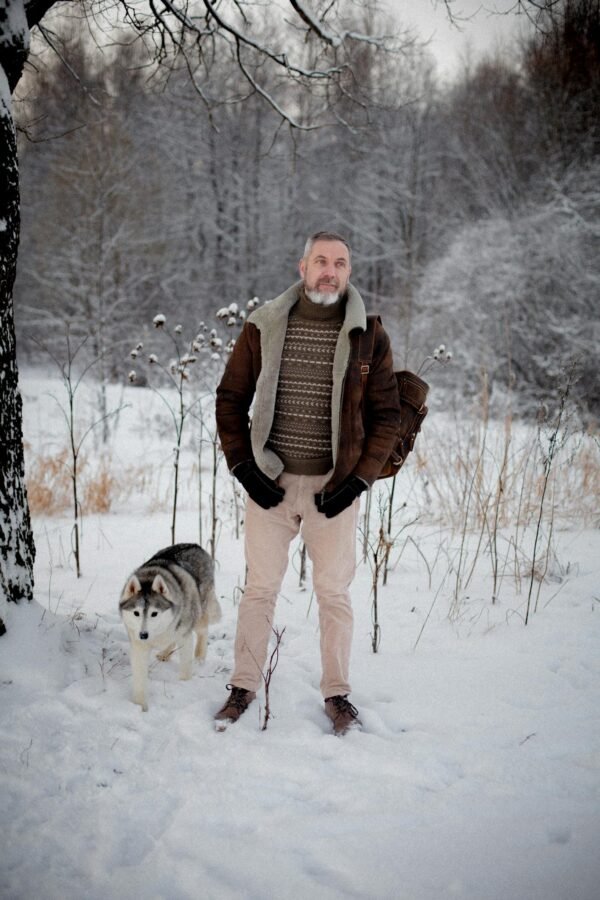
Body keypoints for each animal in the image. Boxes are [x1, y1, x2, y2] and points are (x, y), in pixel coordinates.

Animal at [119, 540, 220, 712]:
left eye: (154, 613)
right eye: (136, 613)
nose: (143, 635)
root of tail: (195, 544)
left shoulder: (185, 637)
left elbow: (185, 668)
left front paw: (185, 686)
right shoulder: (139, 647)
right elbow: (139, 681)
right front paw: (140, 707)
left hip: (198, 614)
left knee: (203, 632)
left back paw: (199, 657)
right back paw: (165, 654)